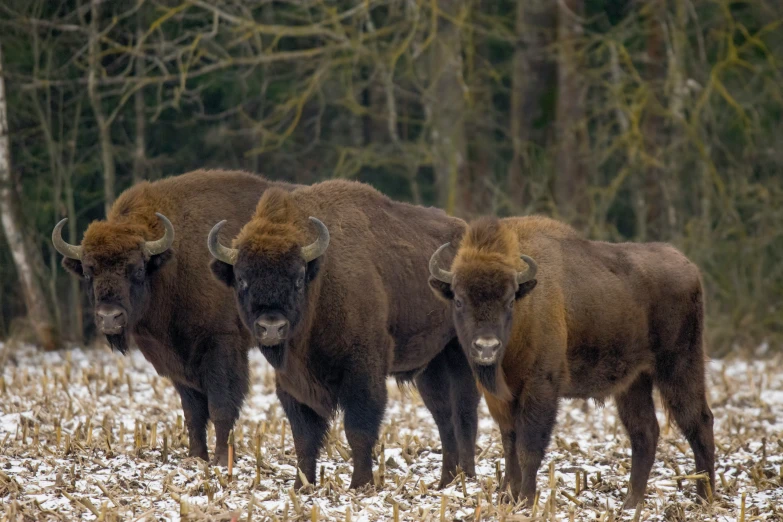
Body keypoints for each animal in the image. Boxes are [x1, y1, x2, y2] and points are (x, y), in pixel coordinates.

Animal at [50, 169, 294, 462]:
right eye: (88, 272)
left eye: (137, 269)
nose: (109, 317)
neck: (172, 263)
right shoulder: (176, 359)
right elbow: (192, 412)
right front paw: (196, 456)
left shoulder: (222, 345)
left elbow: (221, 406)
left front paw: (221, 459)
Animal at [205, 179, 480, 488]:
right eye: (242, 279)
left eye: (298, 278)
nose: (272, 327)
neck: (321, 281)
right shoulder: (292, 382)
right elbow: (303, 436)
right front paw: (302, 485)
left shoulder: (363, 370)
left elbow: (358, 428)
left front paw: (360, 484)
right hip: (432, 365)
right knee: (443, 416)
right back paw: (446, 480)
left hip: (461, 355)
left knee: (465, 412)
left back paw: (467, 476)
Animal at [428, 214, 716, 508]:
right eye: (459, 300)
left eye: (509, 300)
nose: (486, 347)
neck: (526, 306)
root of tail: (689, 267)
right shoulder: (500, 397)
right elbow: (509, 444)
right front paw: (508, 497)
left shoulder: (541, 387)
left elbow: (528, 447)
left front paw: (527, 500)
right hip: (635, 381)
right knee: (645, 431)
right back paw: (631, 502)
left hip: (679, 367)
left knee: (698, 421)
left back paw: (705, 497)